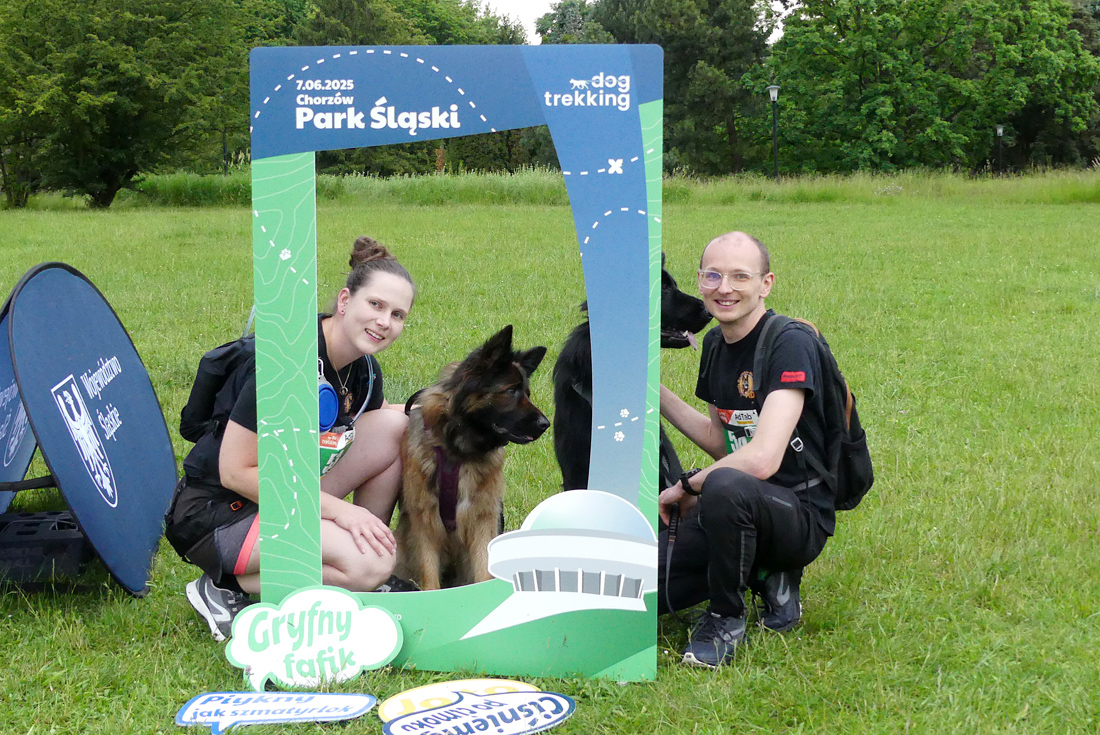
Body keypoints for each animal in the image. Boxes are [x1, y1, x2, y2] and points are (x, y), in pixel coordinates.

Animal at [396, 325, 550, 589]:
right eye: (511, 391)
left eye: (527, 393)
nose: (546, 424)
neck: (457, 451)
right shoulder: (423, 522)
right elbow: (429, 576)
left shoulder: (483, 519)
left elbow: (482, 572)